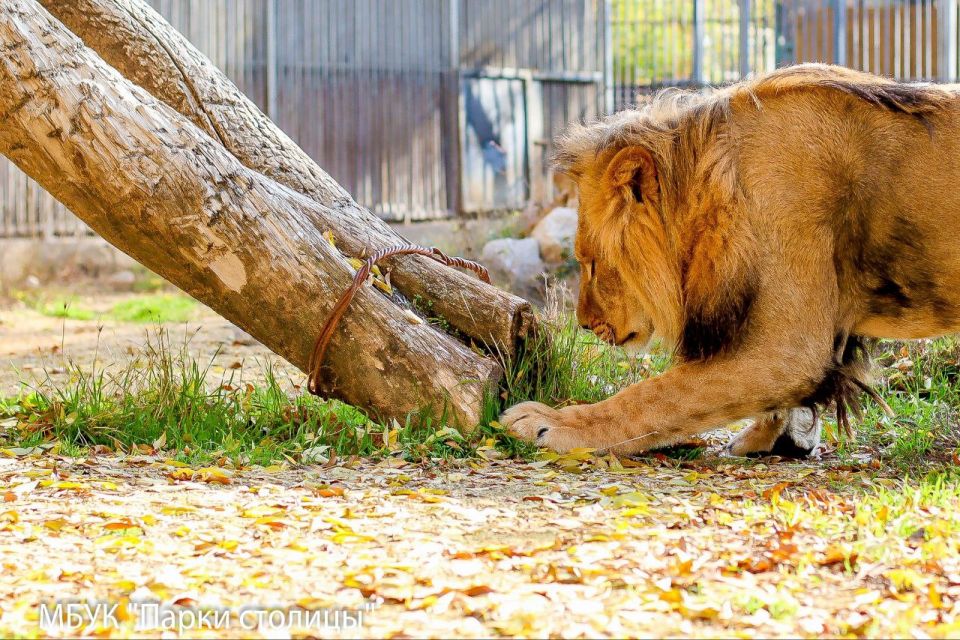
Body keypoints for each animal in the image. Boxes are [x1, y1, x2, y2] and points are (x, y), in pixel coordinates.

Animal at [501, 63, 960, 457]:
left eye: (591, 262)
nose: (583, 323)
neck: (724, 183)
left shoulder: (789, 345)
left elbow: (658, 395)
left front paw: (553, 422)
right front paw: (776, 437)